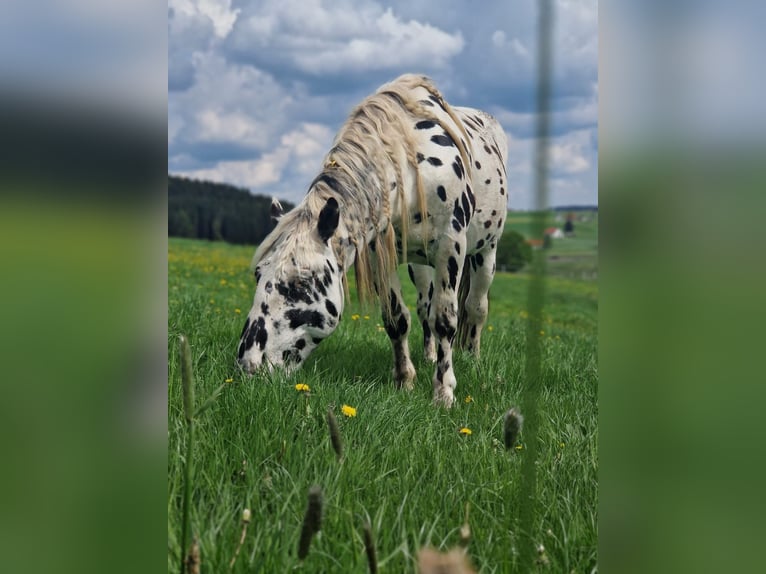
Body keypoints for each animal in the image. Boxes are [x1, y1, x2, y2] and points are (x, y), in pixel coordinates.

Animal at [237, 74, 508, 408]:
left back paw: (472, 358)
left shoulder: (450, 247)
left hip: (485, 253)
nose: (248, 365)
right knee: (425, 307)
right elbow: (396, 318)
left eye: (301, 283)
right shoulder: (380, 251)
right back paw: (430, 356)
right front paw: (404, 380)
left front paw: (443, 392)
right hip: (419, 265)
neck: (412, 166)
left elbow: (446, 320)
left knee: (475, 307)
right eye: (258, 274)